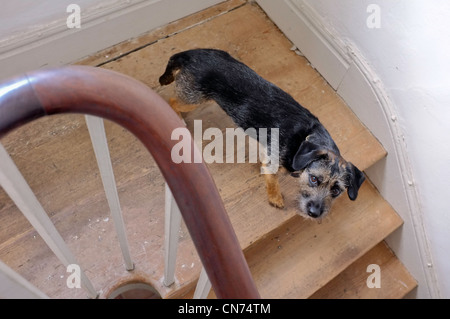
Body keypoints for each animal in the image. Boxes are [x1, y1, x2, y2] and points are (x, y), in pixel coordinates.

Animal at [160, 49, 364, 220]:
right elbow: (272, 179)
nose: (314, 213)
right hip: (192, 99)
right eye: (314, 179)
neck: (304, 139)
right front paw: (275, 197)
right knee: (171, 101)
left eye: (336, 191)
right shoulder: (274, 161)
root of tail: (188, 54)